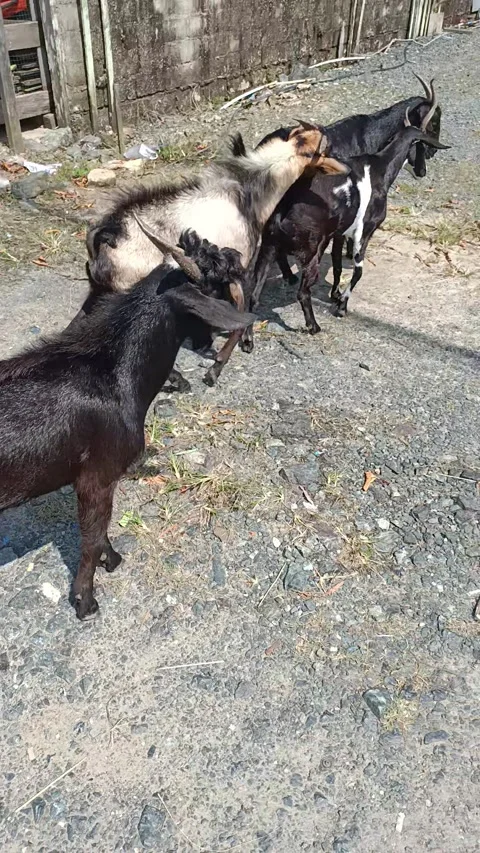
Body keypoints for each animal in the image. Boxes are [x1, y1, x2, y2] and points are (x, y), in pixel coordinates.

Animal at [0, 234, 255, 620]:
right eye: (217, 273)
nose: (238, 257)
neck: (114, 374)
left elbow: (101, 531)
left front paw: (113, 558)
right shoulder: (98, 476)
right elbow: (91, 538)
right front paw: (85, 601)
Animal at [84, 123, 349, 385]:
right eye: (324, 150)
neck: (248, 193)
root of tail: (107, 235)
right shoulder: (239, 268)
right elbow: (243, 312)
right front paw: (220, 364)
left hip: (101, 292)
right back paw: (175, 378)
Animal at [243, 101, 449, 343]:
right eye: (431, 128)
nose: (423, 170)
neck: (379, 165)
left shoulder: (340, 232)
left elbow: (339, 265)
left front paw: (335, 294)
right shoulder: (364, 231)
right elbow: (358, 271)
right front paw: (341, 305)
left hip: (268, 248)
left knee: (253, 297)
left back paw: (247, 340)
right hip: (311, 252)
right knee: (303, 292)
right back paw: (313, 325)